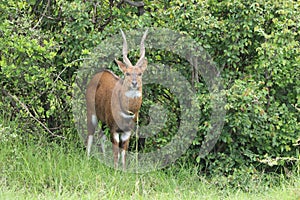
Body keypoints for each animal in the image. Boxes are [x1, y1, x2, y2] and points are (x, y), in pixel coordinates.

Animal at [85, 29, 148, 170]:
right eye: (127, 73)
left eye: (140, 73)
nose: (134, 83)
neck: (127, 112)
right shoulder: (114, 129)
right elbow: (116, 153)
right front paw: (114, 170)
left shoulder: (127, 131)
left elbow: (123, 153)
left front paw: (123, 171)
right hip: (91, 113)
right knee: (90, 134)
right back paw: (87, 159)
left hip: (103, 121)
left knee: (101, 136)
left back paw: (103, 159)